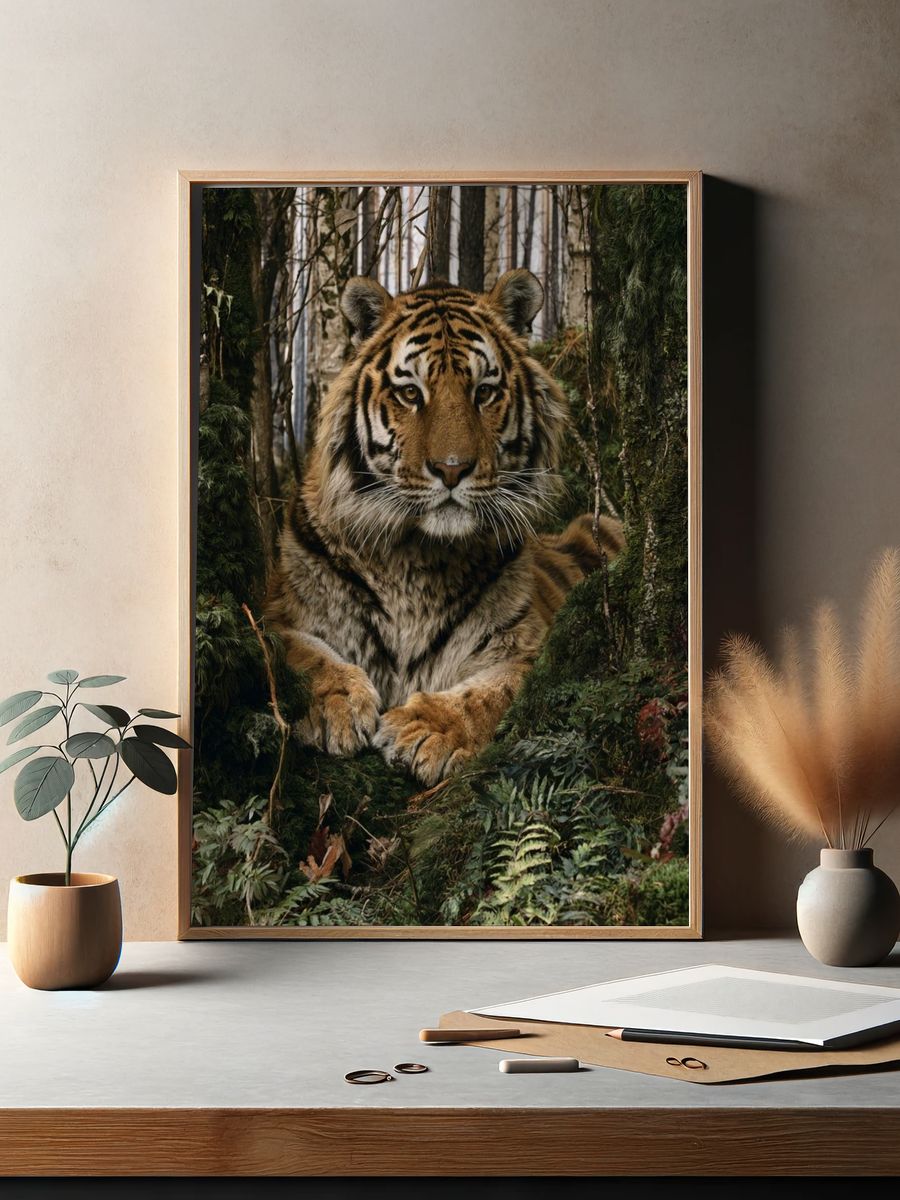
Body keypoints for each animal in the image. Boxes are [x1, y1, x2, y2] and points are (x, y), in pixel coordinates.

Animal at [264, 268, 623, 786]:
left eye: (484, 392)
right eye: (411, 393)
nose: (452, 469)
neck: (415, 559)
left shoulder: (534, 643)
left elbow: (497, 690)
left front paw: (428, 729)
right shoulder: (276, 610)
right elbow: (297, 651)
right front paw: (336, 705)